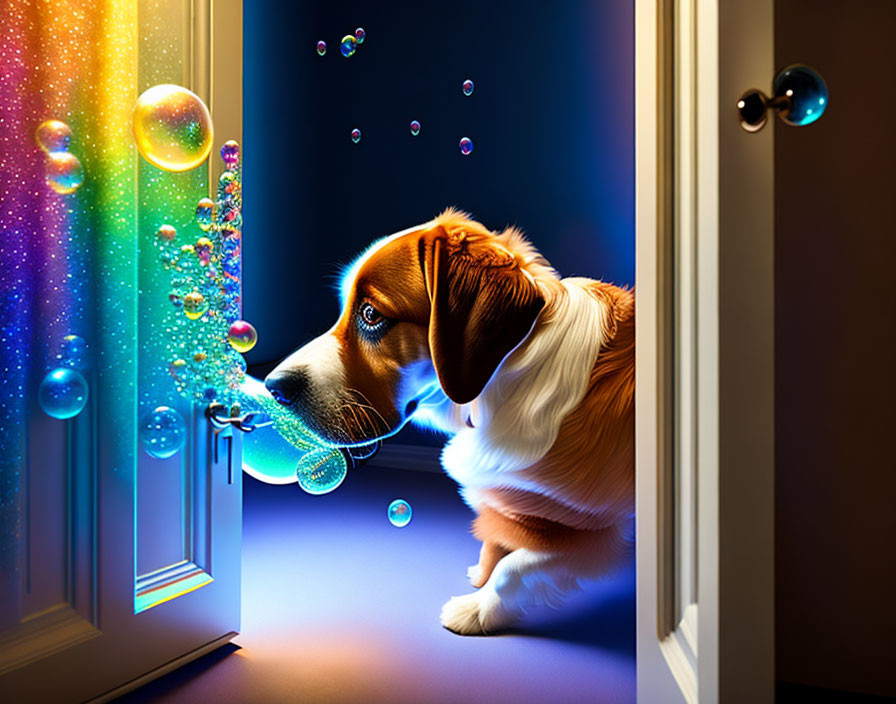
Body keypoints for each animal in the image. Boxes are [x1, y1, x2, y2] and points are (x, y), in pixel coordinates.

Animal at [262, 210, 632, 640]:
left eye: (371, 315)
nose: (273, 386)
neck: (508, 376)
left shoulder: (589, 529)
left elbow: (513, 568)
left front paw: (477, 610)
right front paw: (481, 574)